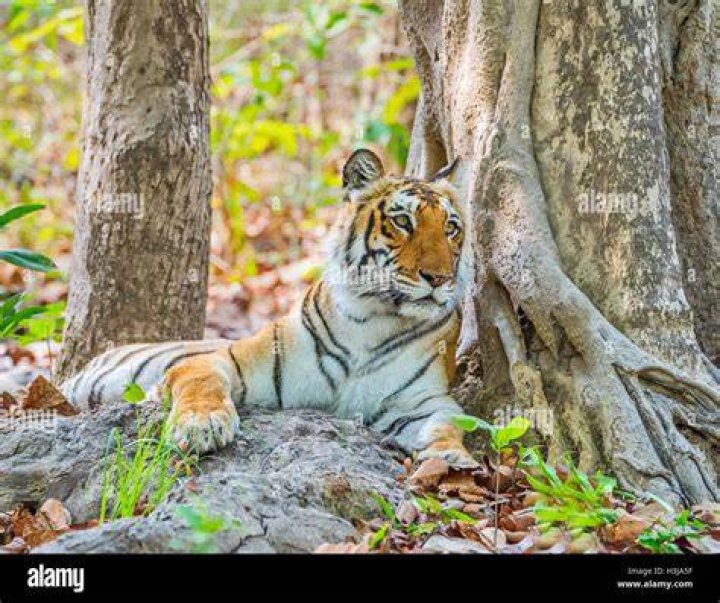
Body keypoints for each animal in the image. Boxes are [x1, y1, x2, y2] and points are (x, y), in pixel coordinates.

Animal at [60, 149, 477, 467]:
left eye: (451, 228)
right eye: (403, 221)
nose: (439, 278)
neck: (375, 320)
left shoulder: (420, 401)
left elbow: (449, 422)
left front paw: (452, 457)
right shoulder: (227, 360)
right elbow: (200, 381)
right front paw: (201, 425)